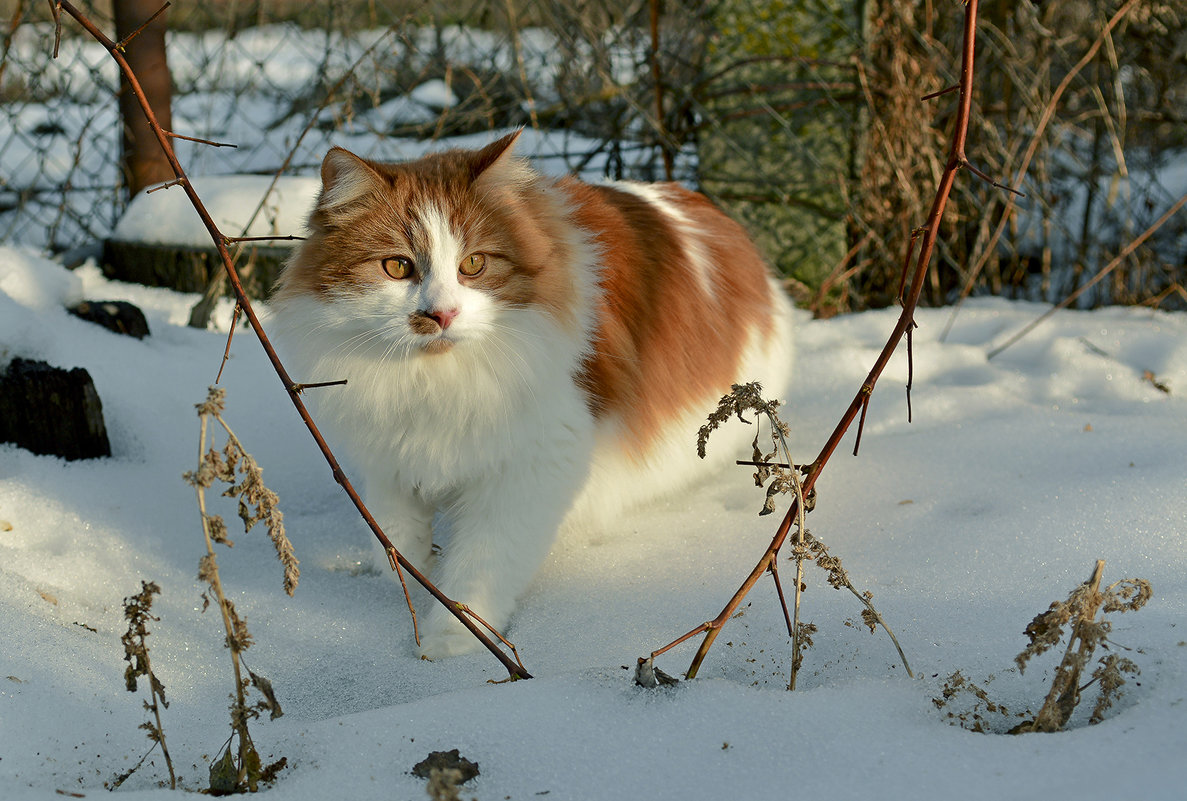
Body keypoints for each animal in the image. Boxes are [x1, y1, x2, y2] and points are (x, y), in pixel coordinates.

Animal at [267, 129, 788, 659]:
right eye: (397, 267)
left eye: (474, 264)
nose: (441, 315)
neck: (437, 379)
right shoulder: (389, 455)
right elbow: (398, 541)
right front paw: (411, 587)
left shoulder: (535, 461)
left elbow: (483, 563)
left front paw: (454, 638)